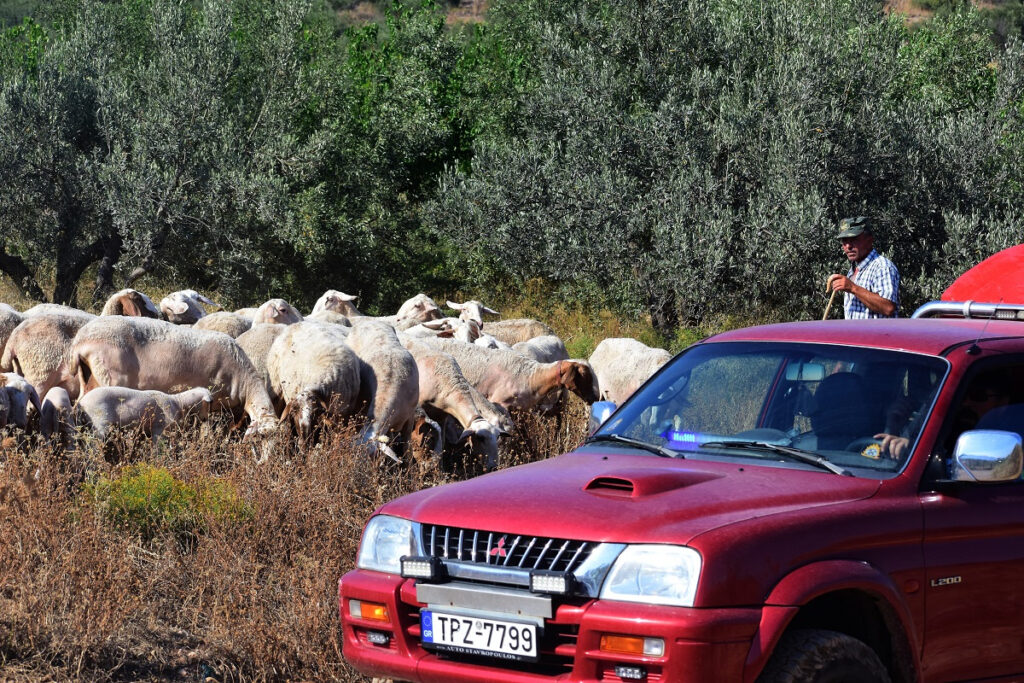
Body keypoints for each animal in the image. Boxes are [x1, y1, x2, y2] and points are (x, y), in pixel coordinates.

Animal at [75, 385, 214, 444]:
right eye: (209, 403)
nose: (205, 418)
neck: (178, 402)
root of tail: (81, 403)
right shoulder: (159, 430)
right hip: (100, 424)